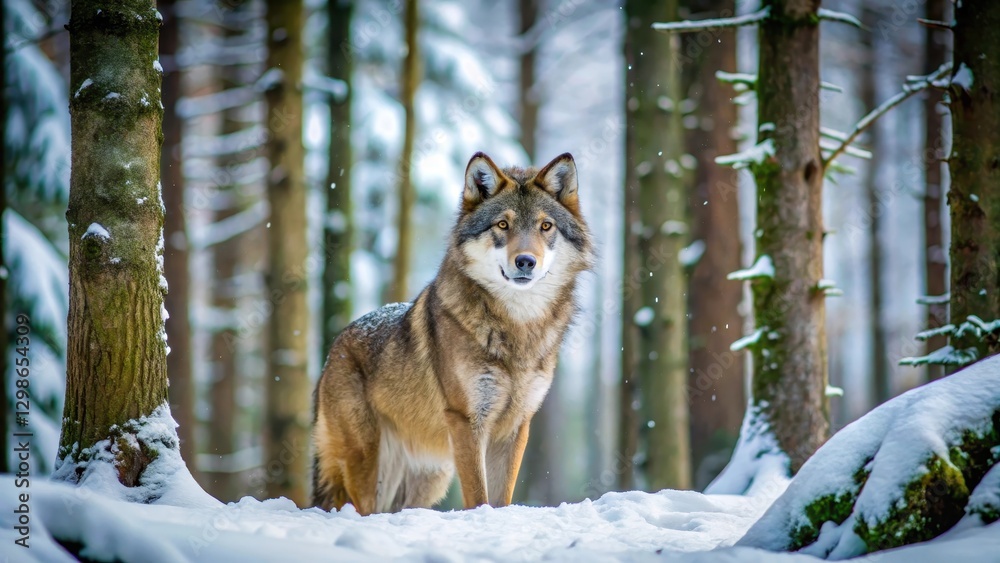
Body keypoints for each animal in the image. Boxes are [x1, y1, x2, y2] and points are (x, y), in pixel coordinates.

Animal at [312, 152, 594, 514]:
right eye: (502, 225)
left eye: (546, 226)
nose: (526, 261)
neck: (517, 328)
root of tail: (334, 348)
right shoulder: (466, 421)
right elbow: (478, 496)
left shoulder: (517, 427)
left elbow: (501, 499)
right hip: (367, 465)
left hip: (428, 480)